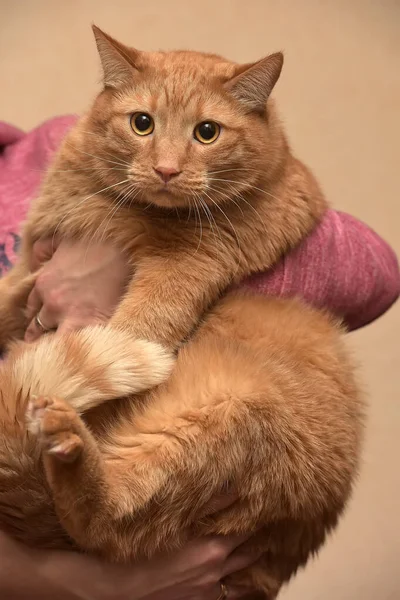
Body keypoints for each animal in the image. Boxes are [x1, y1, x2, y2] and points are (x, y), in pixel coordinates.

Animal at [0, 25, 364, 596]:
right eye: (142, 123)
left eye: (207, 132)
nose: (167, 170)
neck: (116, 204)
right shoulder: (28, 267)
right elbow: (7, 298)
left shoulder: (185, 271)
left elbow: (134, 331)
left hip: (219, 420)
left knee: (107, 524)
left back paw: (67, 437)